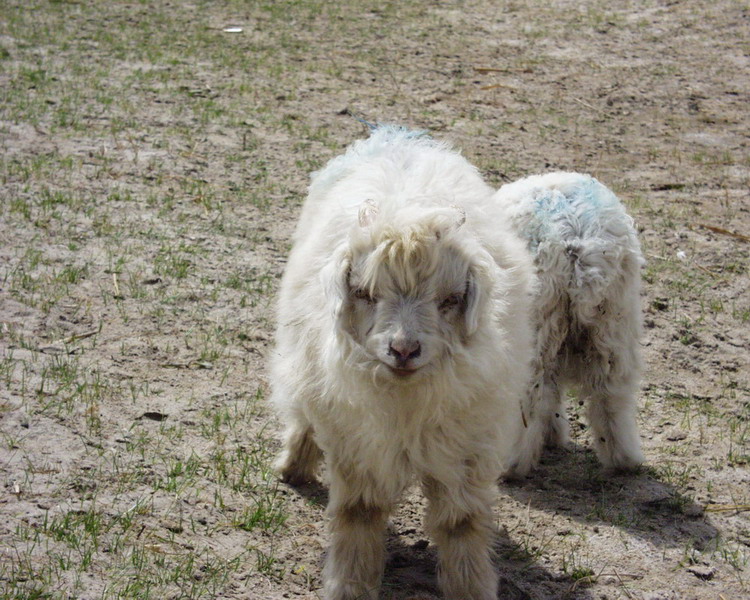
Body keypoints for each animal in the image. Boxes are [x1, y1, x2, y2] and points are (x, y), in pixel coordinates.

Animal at [270, 127, 536, 600]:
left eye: (451, 299)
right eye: (364, 293)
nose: (404, 349)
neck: (405, 403)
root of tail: (396, 135)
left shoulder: (467, 446)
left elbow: (461, 521)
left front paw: (470, 586)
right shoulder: (356, 442)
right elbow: (359, 511)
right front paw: (350, 584)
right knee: (301, 414)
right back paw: (293, 466)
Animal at [494, 172, 648, 478]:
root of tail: (576, 236)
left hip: (536, 322)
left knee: (532, 394)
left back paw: (512, 463)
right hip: (615, 322)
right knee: (613, 394)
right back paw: (623, 459)